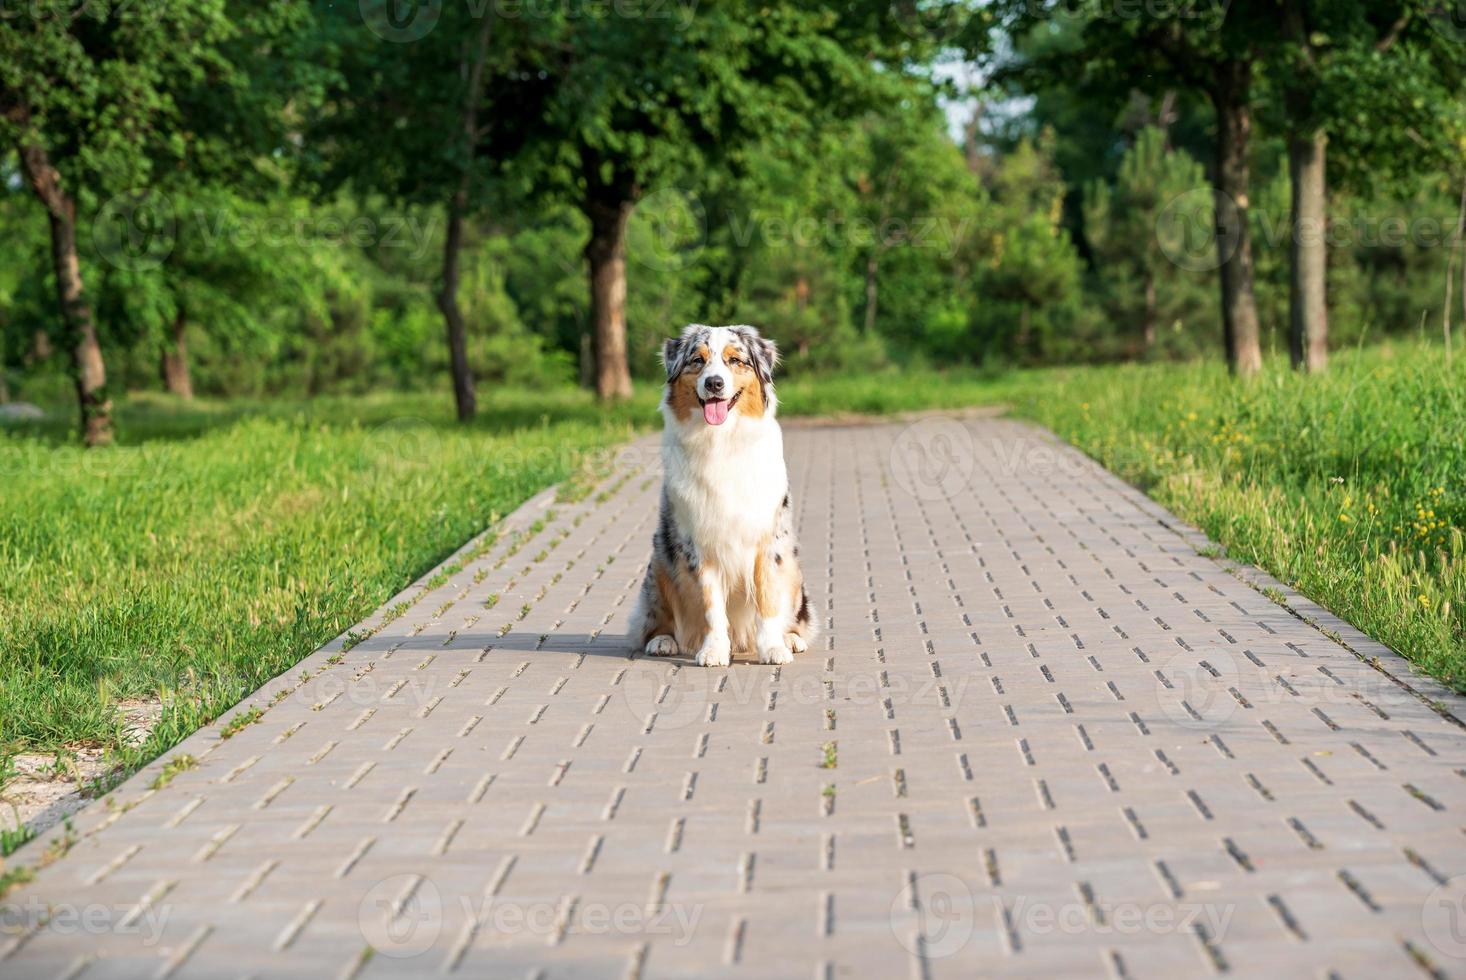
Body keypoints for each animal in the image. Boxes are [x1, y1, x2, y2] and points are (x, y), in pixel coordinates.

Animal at [627, 321, 820, 666]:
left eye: (735, 360)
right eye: (697, 360)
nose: (714, 383)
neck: (721, 441)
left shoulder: (768, 541)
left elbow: (767, 599)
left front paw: (773, 648)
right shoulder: (698, 544)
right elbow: (711, 606)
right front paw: (714, 650)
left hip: (793, 569)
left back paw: (791, 638)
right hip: (660, 561)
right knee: (653, 620)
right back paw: (662, 640)